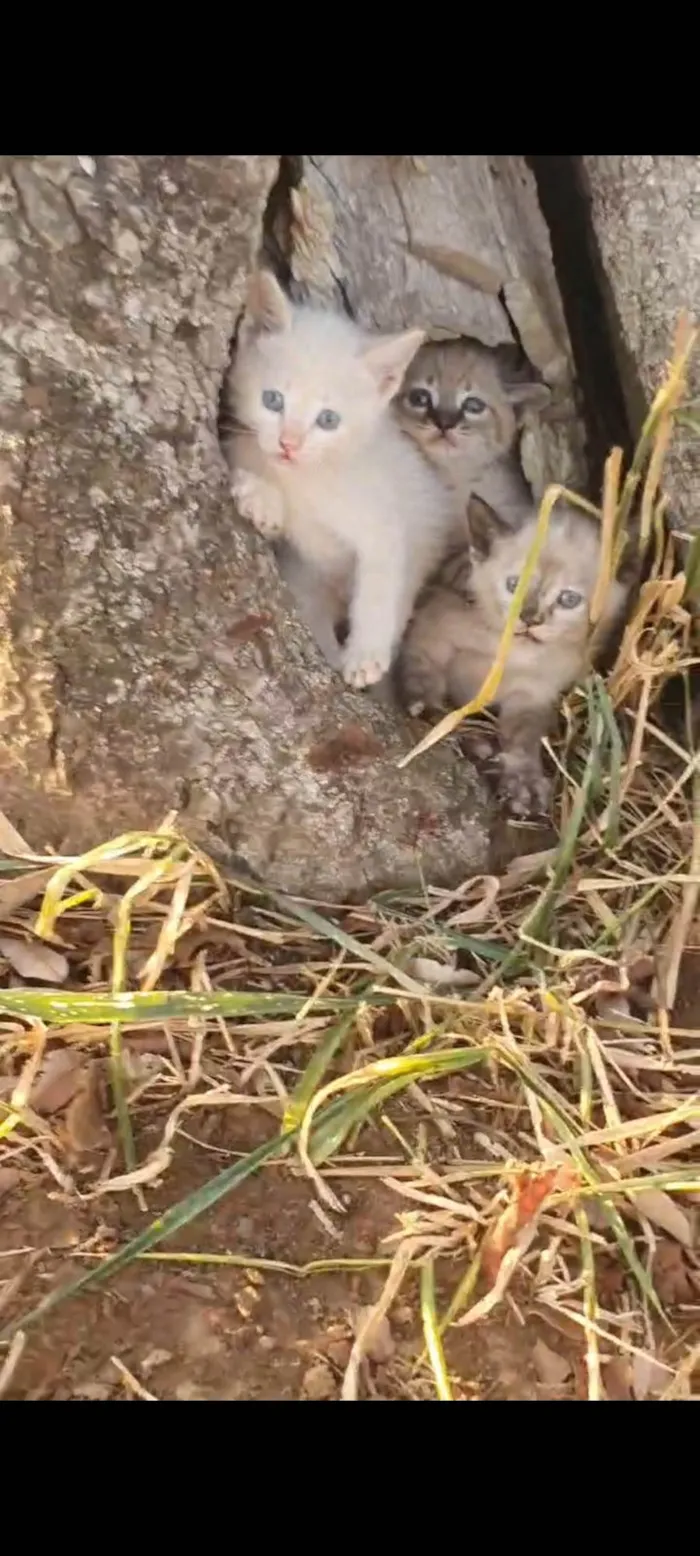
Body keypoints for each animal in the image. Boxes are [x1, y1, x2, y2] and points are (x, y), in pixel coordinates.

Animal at [224, 267, 454, 687]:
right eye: (273, 400)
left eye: (328, 419)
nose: (289, 444)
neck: (306, 478)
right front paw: (261, 498)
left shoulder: (380, 518)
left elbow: (380, 579)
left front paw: (365, 654)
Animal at [396, 494, 631, 815]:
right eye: (514, 585)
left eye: (569, 599)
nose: (530, 618)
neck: (509, 653)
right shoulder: (429, 636)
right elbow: (423, 680)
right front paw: (435, 715)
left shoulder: (534, 693)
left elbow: (524, 735)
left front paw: (524, 780)